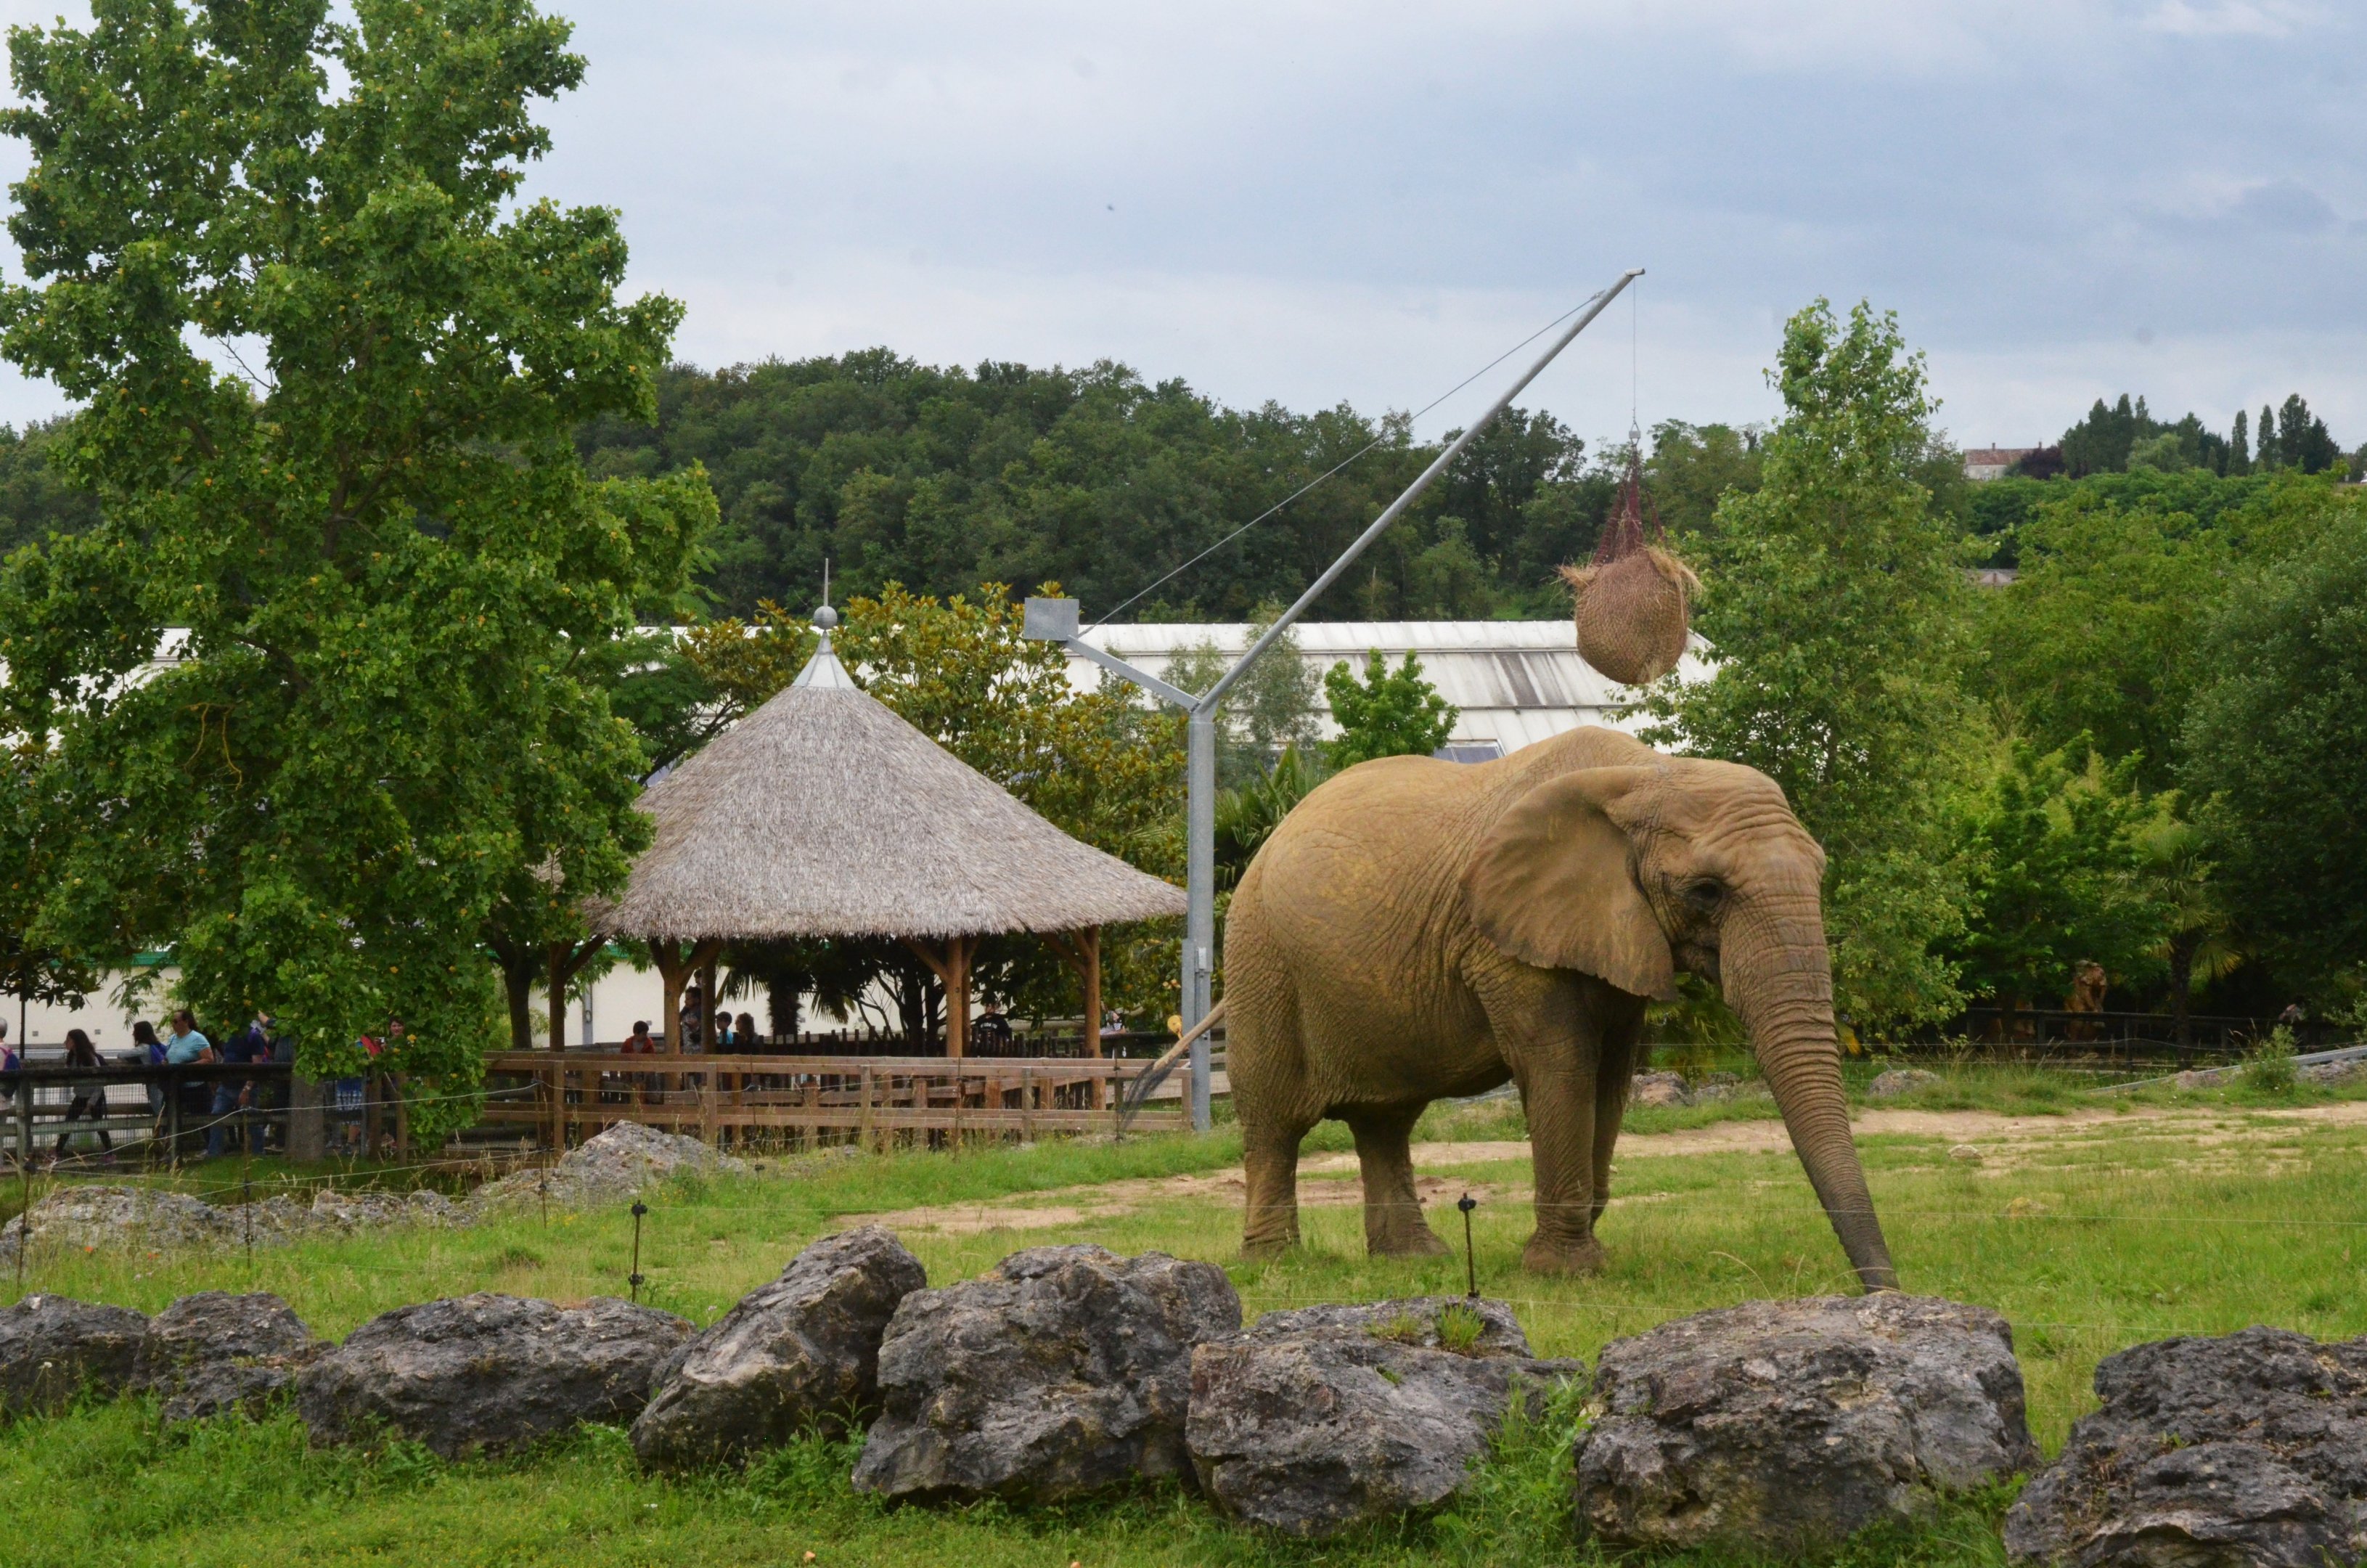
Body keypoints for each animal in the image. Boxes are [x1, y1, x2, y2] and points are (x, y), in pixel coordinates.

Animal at [1223, 725, 1898, 1292]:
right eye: (1706, 891)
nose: (1882, 1292)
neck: (1647, 773)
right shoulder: (1503, 943)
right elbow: (1562, 1066)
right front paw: (1564, 1273)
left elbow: (1610, 1077)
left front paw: (1577, 1256)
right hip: (1260, 960)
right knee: (1275, 1119)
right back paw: (1275, 1264)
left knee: (1385, 1122)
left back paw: (1415, 1260)